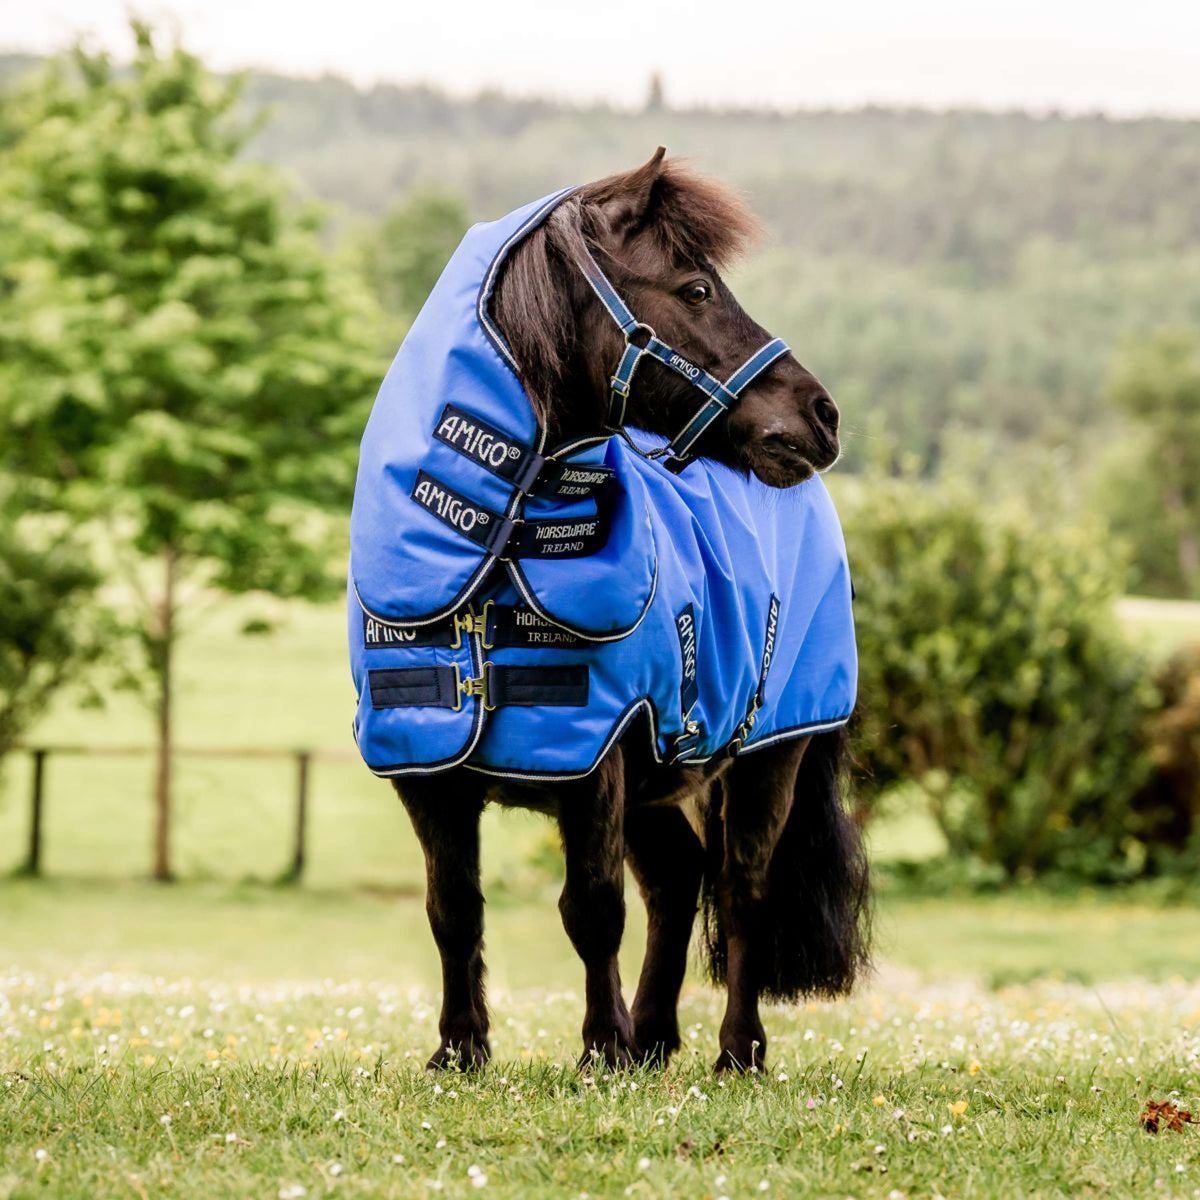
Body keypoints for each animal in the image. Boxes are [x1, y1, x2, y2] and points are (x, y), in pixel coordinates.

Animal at [398, 152, 868, 1080]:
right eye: (695, 288)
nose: (821, 414)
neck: (496, 558)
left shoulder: (596, 759)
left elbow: (591, 908)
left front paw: (599, 1048)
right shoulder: (429, 773)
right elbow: (453, 908)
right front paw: (460, 1050)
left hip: (771, 756)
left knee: (742, 887)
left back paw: (734, 1051)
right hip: (661, 782)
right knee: (681, 880)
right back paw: (653, 1038)